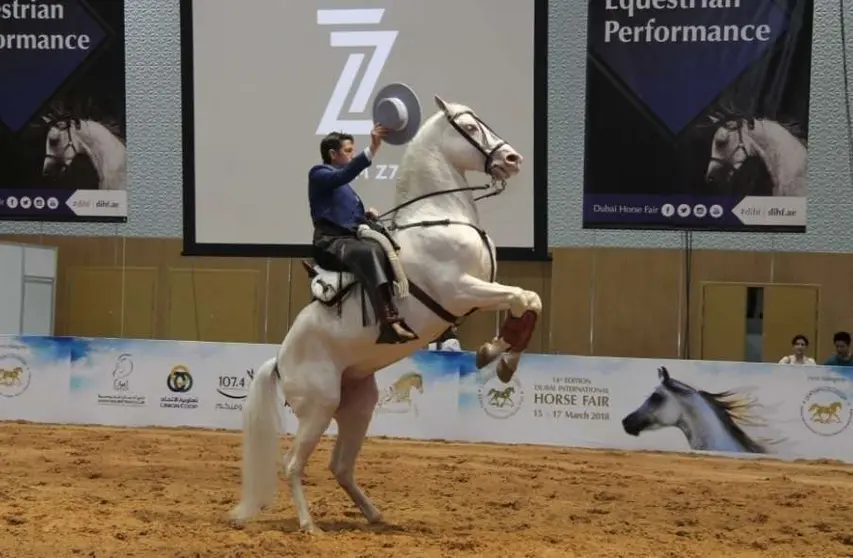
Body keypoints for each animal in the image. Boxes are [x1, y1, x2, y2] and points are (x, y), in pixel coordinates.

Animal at [230, 95, 544, 532]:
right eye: (469, 127)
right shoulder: (461, 290)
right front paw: (498, 357)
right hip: (319, 408)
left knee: (340, 466)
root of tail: (278, 361)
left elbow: (527, 301)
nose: (513, 159)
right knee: (293, 464)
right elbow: (525, 298)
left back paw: (376, 515)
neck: (439, 215)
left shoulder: (479, 293)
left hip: (357, 407)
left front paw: (498, 354)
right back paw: (310, 526)